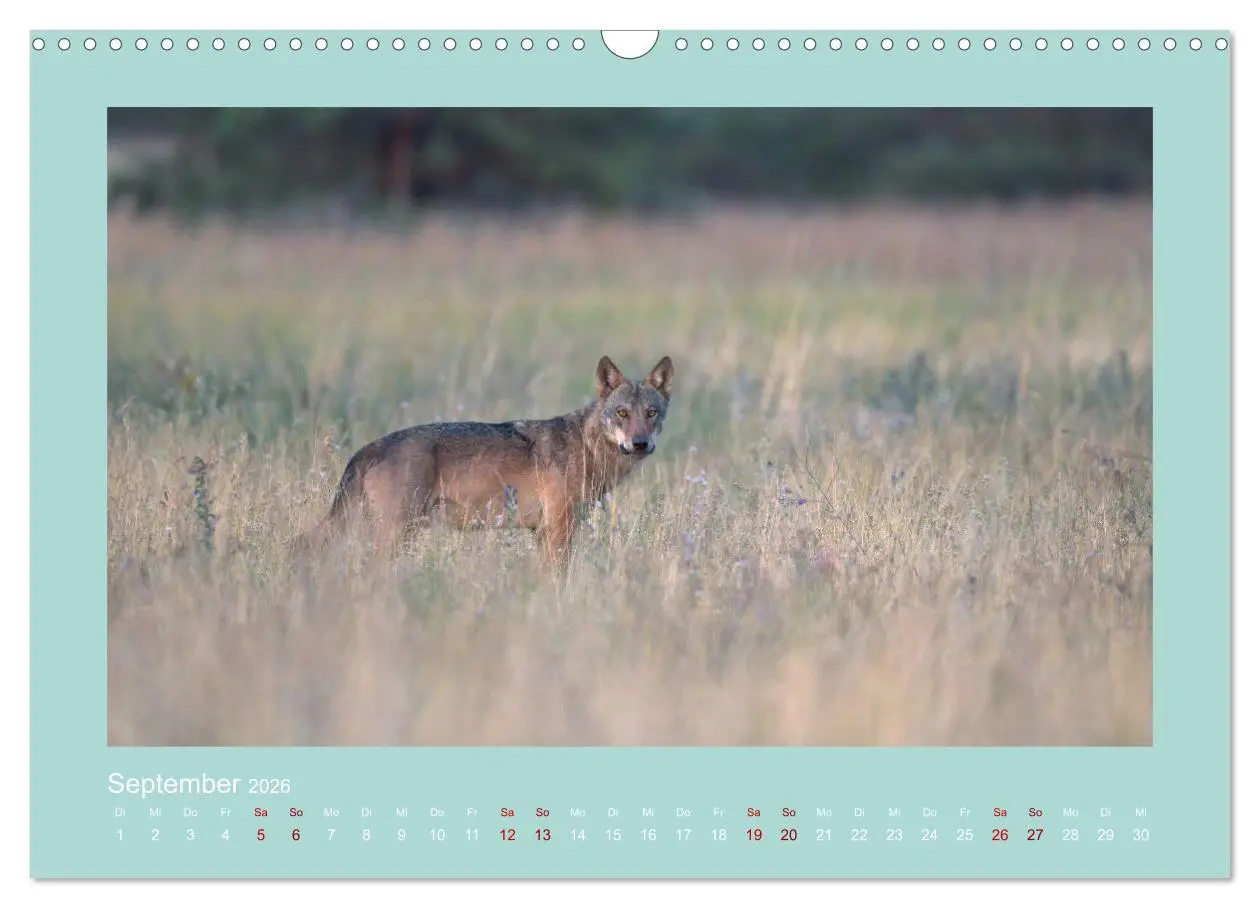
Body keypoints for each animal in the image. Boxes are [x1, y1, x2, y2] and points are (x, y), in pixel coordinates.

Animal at [295, 355, 674, 564]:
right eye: (622, 413)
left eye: (651, 413)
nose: (640, 444)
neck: (587, 445)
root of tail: (368, 448)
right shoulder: (558, 528)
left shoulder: (541, 533)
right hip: (392, 533)